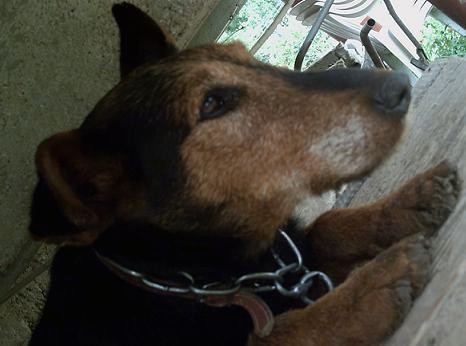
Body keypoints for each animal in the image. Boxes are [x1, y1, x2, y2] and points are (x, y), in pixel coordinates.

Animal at [27, 3, 460, 346]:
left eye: (248, 58)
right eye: (213, 104)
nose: (401, 85)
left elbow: (325, 227)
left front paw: (410, 201)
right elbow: (284, 331)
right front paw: (371, 287)